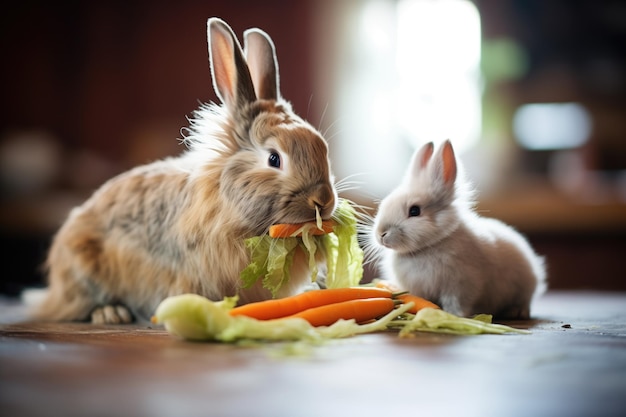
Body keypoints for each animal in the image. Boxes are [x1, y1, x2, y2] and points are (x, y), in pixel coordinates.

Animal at [368, 140, 544, 318]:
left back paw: (516, 312)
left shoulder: (460, 285)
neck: (429, 246)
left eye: (415, 211)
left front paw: (454, 315)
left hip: (524, 288)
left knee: (525, 301)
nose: (381, 234)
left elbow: (457, 302)